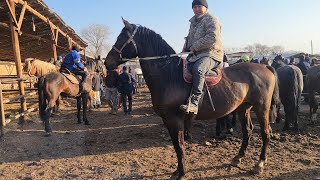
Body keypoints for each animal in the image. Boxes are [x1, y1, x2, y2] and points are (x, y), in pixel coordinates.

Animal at [105, 19, 280, 179]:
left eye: (122, 38)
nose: (107, 62)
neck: (169, 75)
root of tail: (265, 67)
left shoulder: (175, 119)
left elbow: (180, 145)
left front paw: (181, 172)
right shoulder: (167, 120)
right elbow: (176, 145)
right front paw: (177, 170)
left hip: (261, 108)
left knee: (265, 133)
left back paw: (259, 164)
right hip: (244, 108)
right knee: (247, 131)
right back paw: (238, 158)